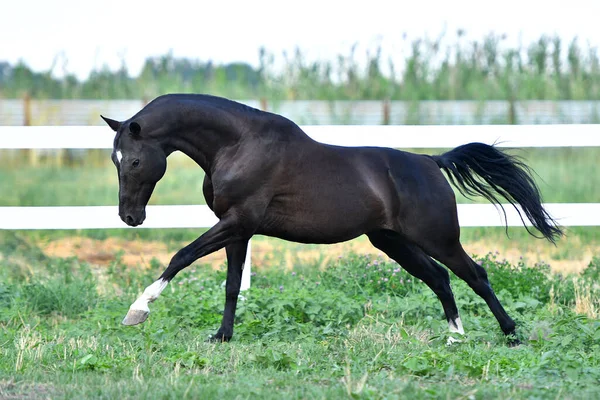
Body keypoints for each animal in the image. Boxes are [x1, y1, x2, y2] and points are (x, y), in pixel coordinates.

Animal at [101, 94, 560, 344]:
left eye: (136, 160)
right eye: (114, 159)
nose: (130, 216)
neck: (238, 145)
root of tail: (431, 162)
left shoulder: (237, 222)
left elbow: (180, 256)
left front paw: (137, 311)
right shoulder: (238, 229)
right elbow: (231, 286)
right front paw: (222, 337)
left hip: (438, 238)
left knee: (475, 274)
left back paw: (511, 335)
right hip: (392, 241)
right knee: (440, 278)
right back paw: (454, 336)